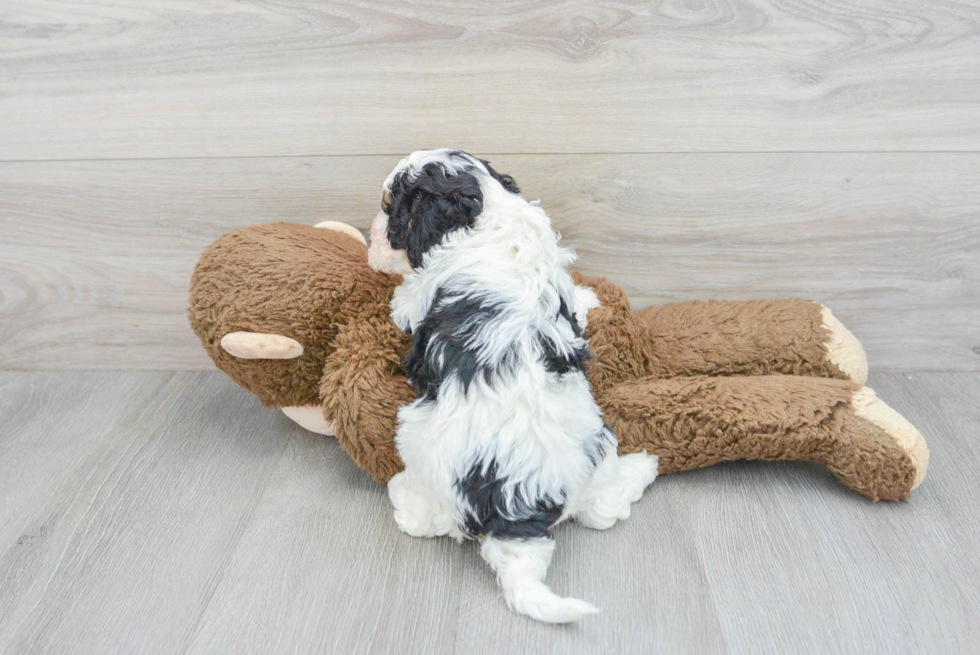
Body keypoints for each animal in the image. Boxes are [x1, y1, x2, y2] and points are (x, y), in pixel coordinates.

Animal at [368, 150, 660, 624]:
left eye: (391, 209)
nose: (371, 236)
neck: (486, 211)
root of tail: (517, 503)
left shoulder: (416, 298)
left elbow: (402, 304)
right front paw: (589, 300)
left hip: (417, 436)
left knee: (431, 517)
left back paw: (404, 496)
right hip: (596, 441)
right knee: (601, 505)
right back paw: (643, 468)